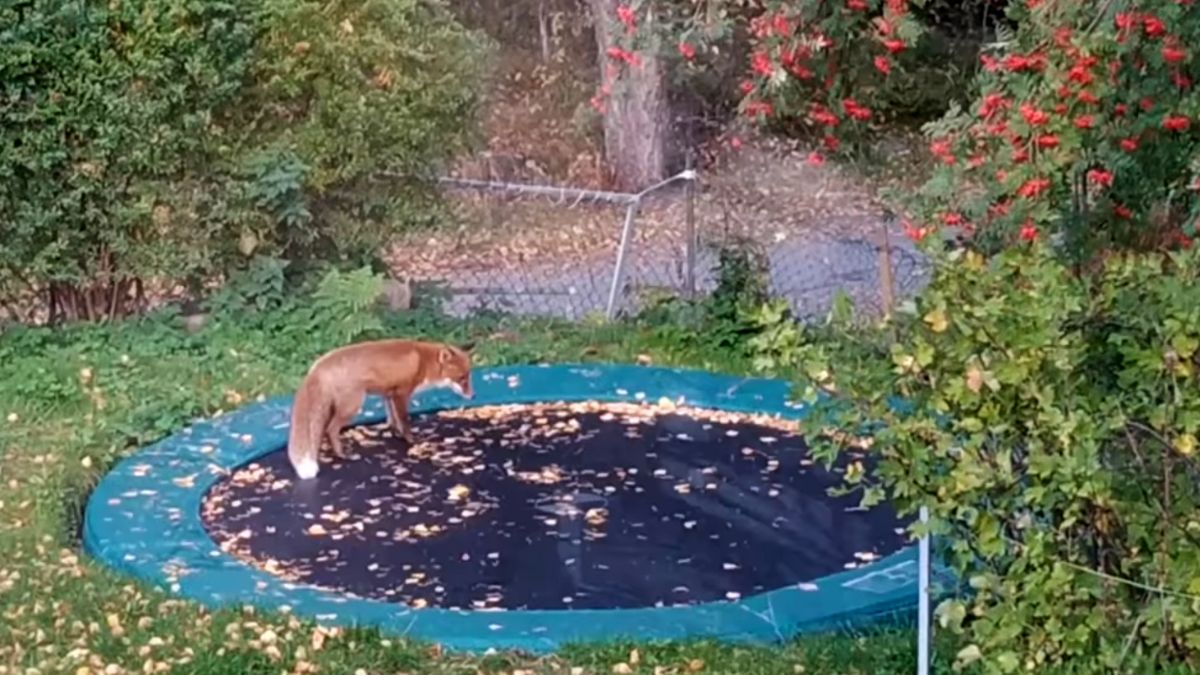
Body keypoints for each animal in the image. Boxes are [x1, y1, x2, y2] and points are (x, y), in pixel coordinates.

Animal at [289, 336, 472, 478]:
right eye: (462, 378)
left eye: (469, 375)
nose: (473, 395)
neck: (423, 361)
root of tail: (317, 366)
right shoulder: (401, 394)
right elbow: (404, 420)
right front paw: (411, 440)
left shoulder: (388, 394)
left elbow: (393, 420)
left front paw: (397, 434)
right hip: (352, 406)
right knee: (331, 429)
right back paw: (342, 455)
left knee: (322, 430)